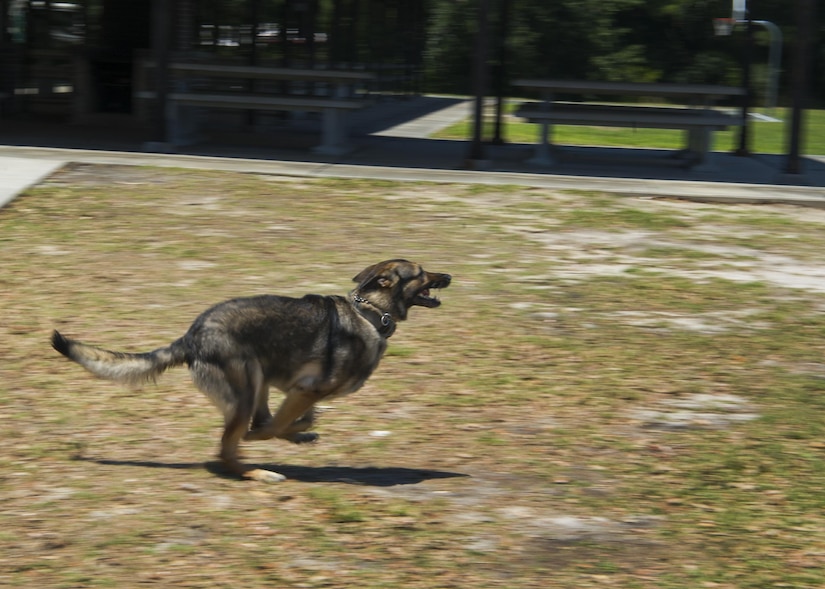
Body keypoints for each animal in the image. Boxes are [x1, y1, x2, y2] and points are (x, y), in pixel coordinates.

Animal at [51, 260, 450, 480]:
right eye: (419, 272)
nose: (448, 275)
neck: (370, 313)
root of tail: (191, 336)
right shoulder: (307, 390)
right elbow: (272, 428)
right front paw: (274, 436)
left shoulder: (298, 392)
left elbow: (293, 420)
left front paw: (302, 432)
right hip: (246, 388)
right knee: (229, 448)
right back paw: (258, 471)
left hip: (258, 380)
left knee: (254, 427)